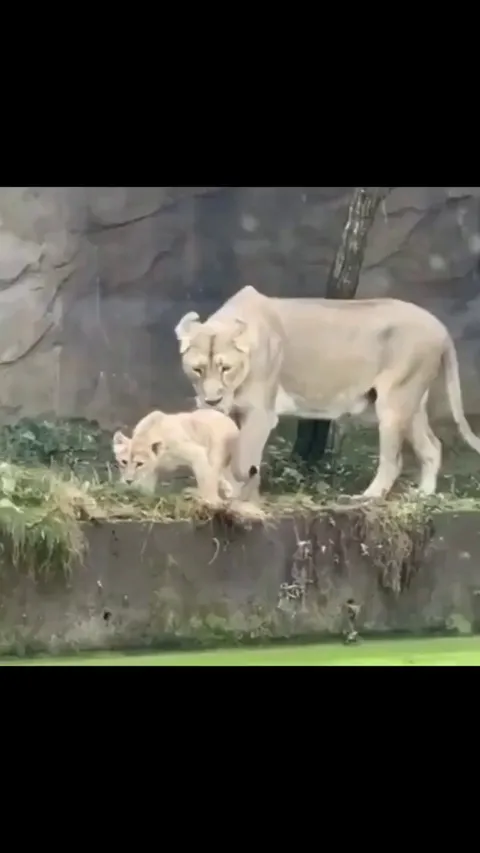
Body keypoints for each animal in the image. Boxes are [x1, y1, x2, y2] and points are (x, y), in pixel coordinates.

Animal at [112, 408, 245, 506]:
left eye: (139, 464)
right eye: (124, 462)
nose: (129, 481)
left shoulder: (196, 452)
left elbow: (206, 479)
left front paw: (211, 500)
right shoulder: (151, 471)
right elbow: (147, 487)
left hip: (216, 453)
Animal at [174, 284, 480, 500]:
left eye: (225, 368)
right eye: (197, 369)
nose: (212, 400)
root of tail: (440, 325)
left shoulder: (261, 414)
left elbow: (243, 459)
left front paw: (238, 493)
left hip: (395, 401)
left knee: (394, 460)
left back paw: (367, 497)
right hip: (412, 404)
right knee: (432, 446)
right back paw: (423, 495)